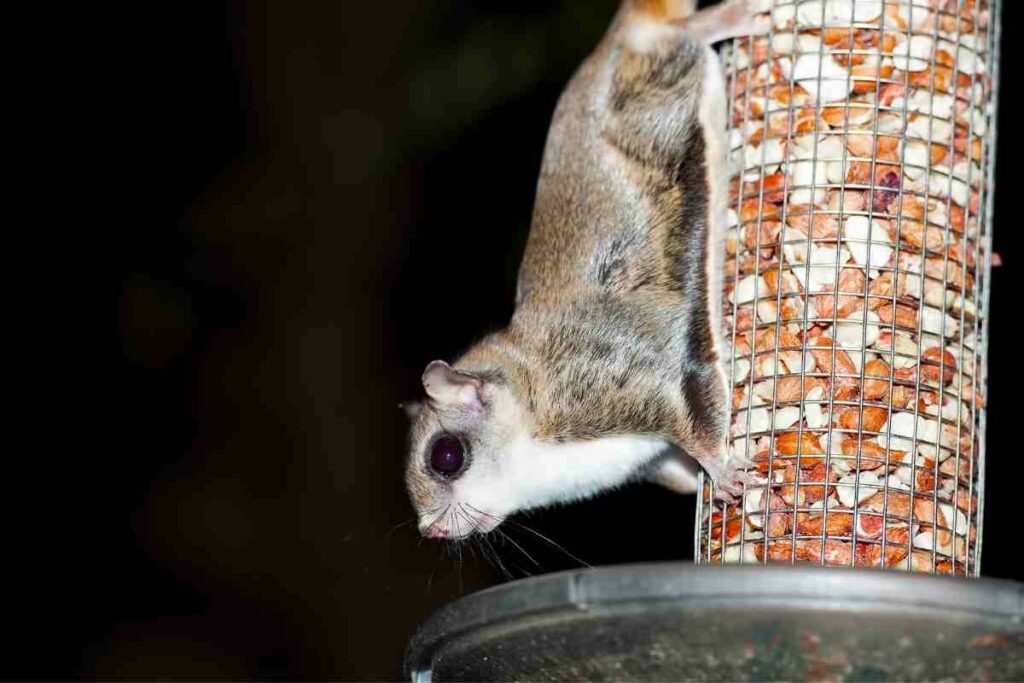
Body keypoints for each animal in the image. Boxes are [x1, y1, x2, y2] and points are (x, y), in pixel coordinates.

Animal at [405, 0, 769, 540]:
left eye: (445, 456)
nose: (431, 531)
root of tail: (609, 41)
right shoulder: (653, 457)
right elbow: (683, 470)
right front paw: (706, 485)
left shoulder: (618, 376)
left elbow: (693, 420)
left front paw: (722, 470)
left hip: (658, 68)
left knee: (681, 37)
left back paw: (724, 20)